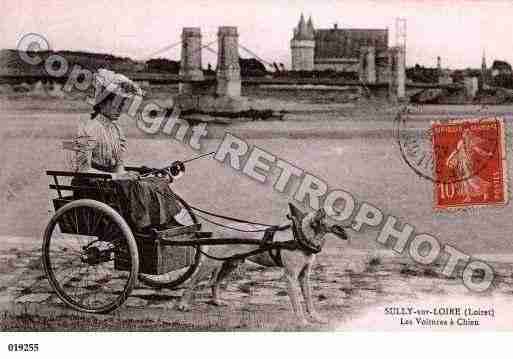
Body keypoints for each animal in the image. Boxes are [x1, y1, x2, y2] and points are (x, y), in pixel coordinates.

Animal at [176, 205, 348, 326]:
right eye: (335, 214)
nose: (351, 221)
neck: (300, 237)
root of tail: (221, 230)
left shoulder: (304, 276)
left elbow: (309, 299)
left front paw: (316, 317)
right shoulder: (290, 277)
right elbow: (297, 303)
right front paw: (302, 321)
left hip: (231, 264)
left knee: (215, 282)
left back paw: (216, 301)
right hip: (211, 263)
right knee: (193, 282)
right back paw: (183, 304)